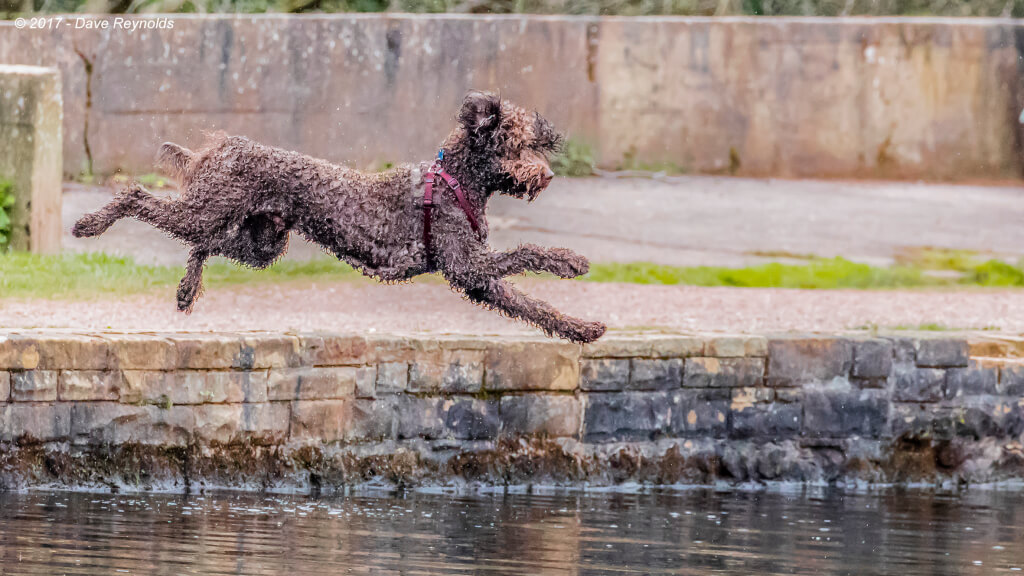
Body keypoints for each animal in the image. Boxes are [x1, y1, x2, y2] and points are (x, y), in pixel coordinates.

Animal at [75, 90, 610, 340]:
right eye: (515, 147)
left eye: (533, 145)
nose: (547, 175)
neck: (455, 181)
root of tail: (227, 146)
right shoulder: (464, 265)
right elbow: (528, 251)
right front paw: (571, 261)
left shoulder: (478, 279)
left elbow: (534, 307)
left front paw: (583, 329)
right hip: (212, 213)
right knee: (138, 197)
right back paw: (89, 224)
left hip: (260, 242)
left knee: (204, 243)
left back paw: (187, 292)